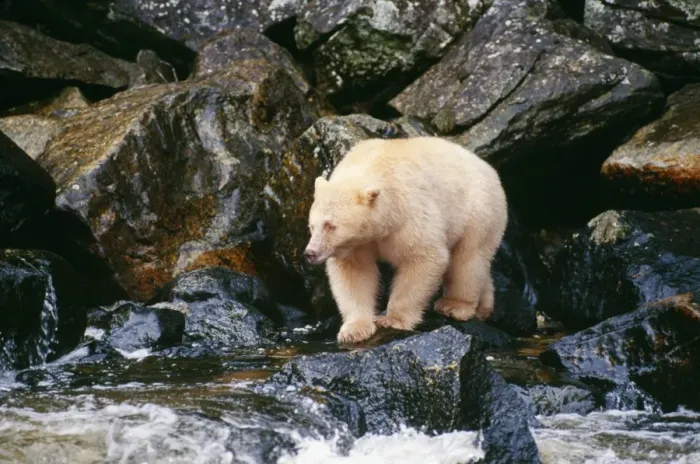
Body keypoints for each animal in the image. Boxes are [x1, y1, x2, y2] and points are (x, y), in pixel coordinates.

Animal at [303, 136, 508, 344]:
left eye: (330, 225)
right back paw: (483, 307)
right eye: (311, 226)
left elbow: (424, 258)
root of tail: (490, 169)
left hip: (479, 212)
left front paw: (392, 320)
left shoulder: (409, 214)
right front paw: (354, 330)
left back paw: (454, 306)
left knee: (468, 258)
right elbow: (354, 272)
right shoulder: (356, 244)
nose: (310, 253)